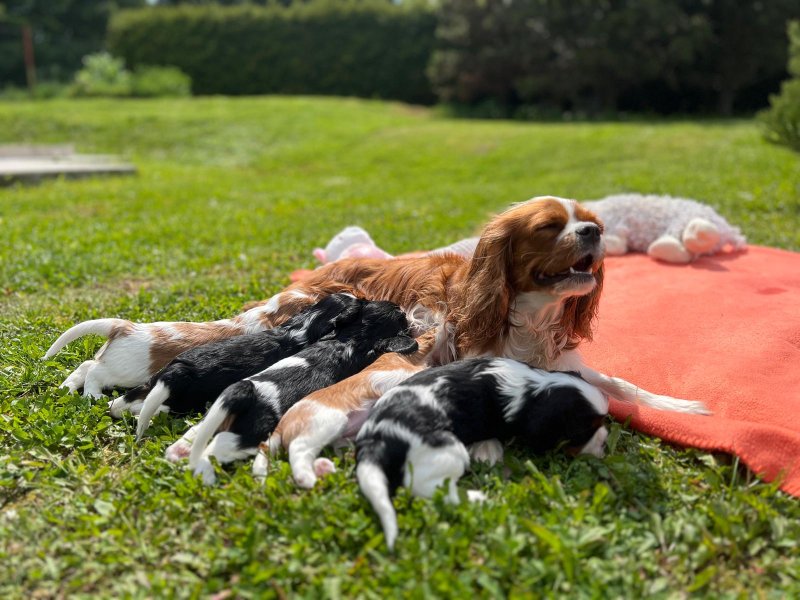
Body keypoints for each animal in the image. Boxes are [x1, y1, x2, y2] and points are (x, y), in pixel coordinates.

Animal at [42, 197, 708, 418]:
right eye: (552, 227)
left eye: (590, 221)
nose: (596, 234)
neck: (529, 314)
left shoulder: (564, 360)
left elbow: (623, 383)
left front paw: (681, 406)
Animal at [107, 292, 366, 438]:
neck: (307, 323)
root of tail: (180, 370)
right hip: (187, 400)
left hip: (155, 381)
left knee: (129, 400)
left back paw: (113, 405)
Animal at [184, 302, 416, 486]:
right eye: (401, 316)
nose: (401, 307)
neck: (354, 337)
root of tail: (246, 392)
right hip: (250, 434)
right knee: (218, 446)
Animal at [354, 358, 608, 552]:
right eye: (583, 432)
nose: (605, 441)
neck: (530, 389)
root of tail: (378, 434)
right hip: (448, 450)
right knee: (424, 486)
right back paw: (478, 497)